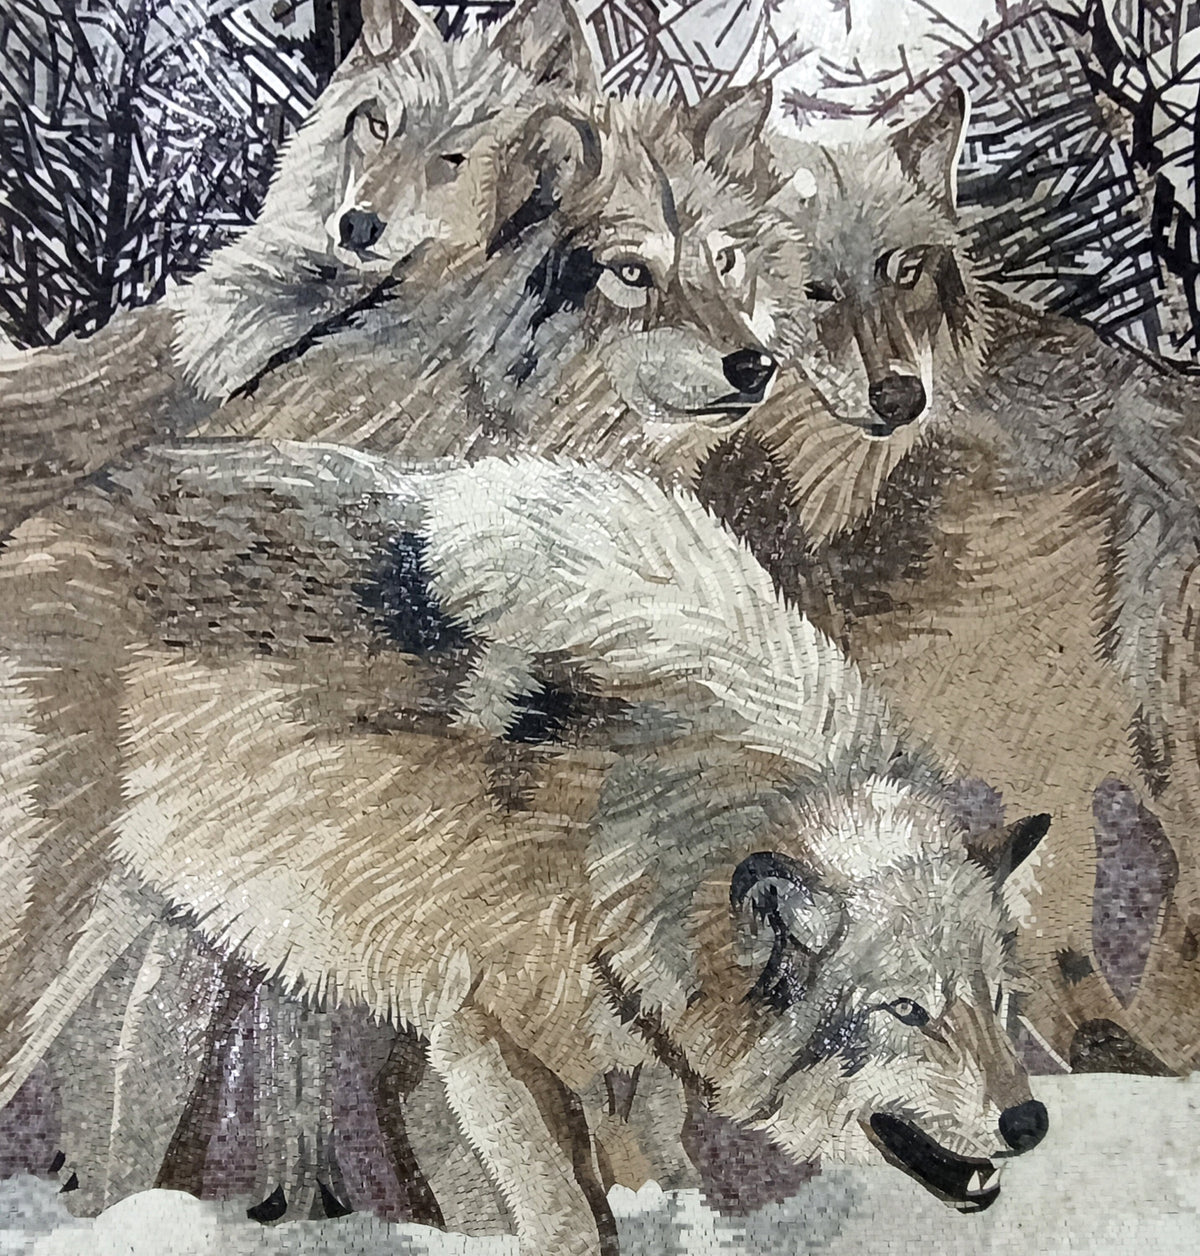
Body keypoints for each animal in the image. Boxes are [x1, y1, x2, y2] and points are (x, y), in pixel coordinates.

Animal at [0, 442, 1052, 1252]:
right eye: (905, 1010)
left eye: (997, 1001)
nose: (1030, 1119)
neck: (632, 808)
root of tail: (43, 515)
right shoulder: (478, 1039)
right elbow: (568, 1221)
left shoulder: (632, 1064)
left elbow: (660, 1191)